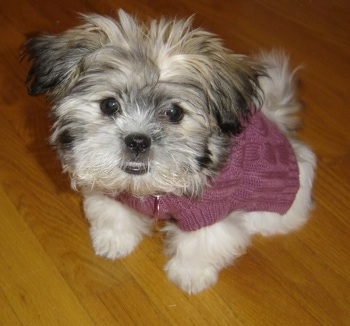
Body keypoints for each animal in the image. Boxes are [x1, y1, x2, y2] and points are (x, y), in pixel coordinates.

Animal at [23, 8, 316, 294]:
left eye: (174, 113)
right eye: (109, 105)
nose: (137, 141)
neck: (150, 186)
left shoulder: (210, 208)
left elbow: (201, 242)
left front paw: (190, 274)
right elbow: (113, 213)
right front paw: (114, 240)